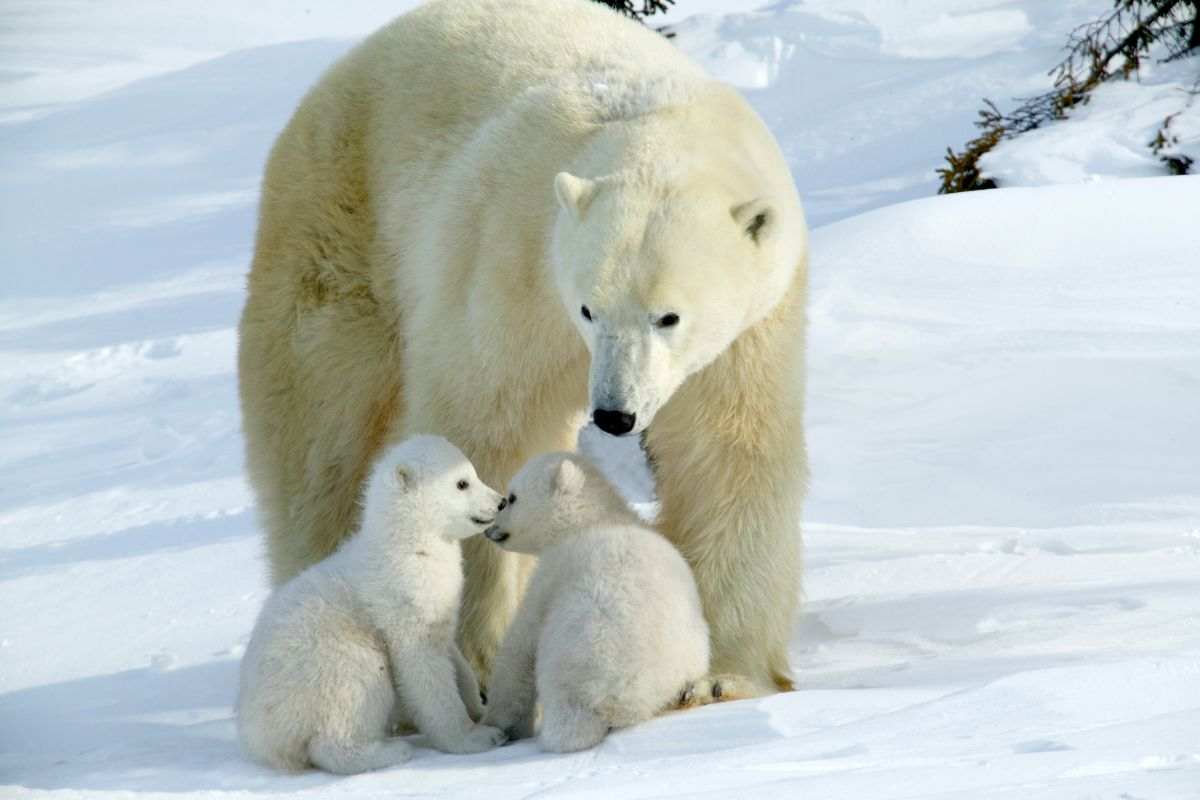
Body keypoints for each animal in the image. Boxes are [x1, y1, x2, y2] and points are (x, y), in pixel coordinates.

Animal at [236, 435, 508, 774]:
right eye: (462, 482)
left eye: (472, 473)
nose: (500, 501)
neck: (408, 544)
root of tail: (261, 736)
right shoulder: (403, 598)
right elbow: (423, 669)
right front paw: (475, 737)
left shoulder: (438, 602)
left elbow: (452, 654)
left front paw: (478, 704)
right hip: (326, 662)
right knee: (351, 696)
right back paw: (389, 751)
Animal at [237, 0, 808, 700]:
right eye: (589, 308)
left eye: (668, 316)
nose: (614, 414)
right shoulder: (513, 264)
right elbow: (486, 428)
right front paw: (479, 658)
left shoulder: (751, 329)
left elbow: (727, 452)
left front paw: (724, 674)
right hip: (339, 225)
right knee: (321, 437)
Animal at [480, 452, 710, 752]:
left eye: (511, 497)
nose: (490, 529)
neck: (595, 518)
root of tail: (621, 702)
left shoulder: (553, 572)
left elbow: (520, 648)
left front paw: (496, 722)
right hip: (691, 651)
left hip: (576, 658)